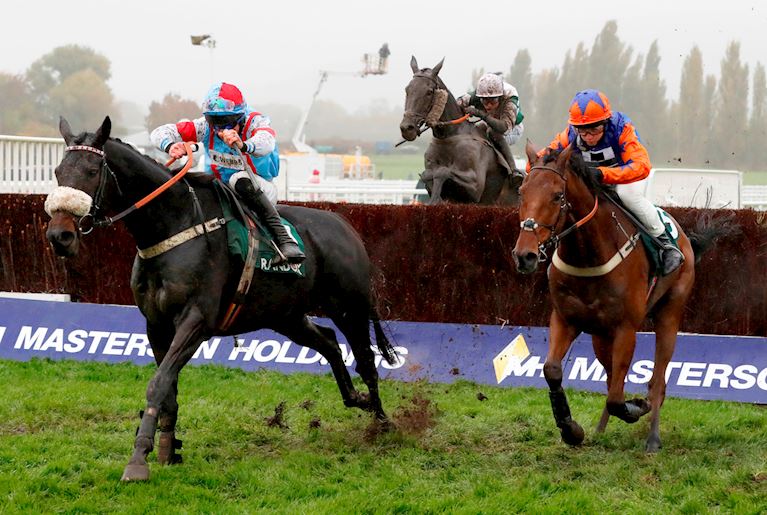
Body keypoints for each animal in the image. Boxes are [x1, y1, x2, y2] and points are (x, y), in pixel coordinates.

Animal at [45, 116, 397, 481]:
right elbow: (168, 388)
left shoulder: (195, 321)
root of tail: (343, 223)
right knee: (328, 342)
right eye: (58, 171)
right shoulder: (156, 325)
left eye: (91, 171)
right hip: (285, 315)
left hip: (349, 307)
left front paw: (139, 458)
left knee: (365, 359)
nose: (60, 235)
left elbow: (158, 383)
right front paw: (167, 449)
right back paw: (357, 399)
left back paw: (382, 423)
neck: (173, 226)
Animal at [399, 56, 519, 206]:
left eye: (429, 92)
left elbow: (443, 171)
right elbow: (428, 175)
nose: (406, 128)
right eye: (407, 90)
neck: (448, 135)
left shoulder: (475, 187)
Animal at [511, 142, 730, 452]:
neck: (588, 255)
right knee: (612, 377)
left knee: (657, 381)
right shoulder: (566, 319)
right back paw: (601, 430)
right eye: (521, 192)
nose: (525, 255)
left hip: (669, 314)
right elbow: (553, 370)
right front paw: (571, 429)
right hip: (601, 336)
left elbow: (618, 397)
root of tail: (686, 238)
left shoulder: (626, 328)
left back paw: (652, 437)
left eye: (557, 196)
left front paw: (636, 407)